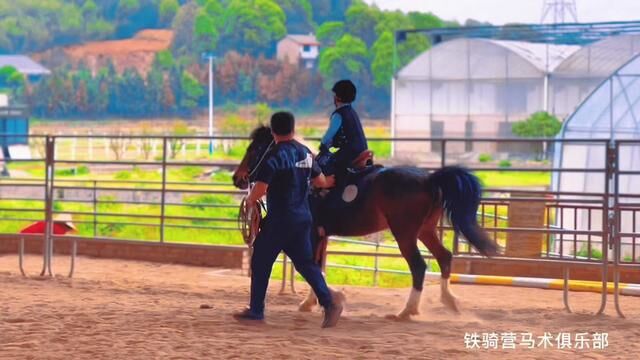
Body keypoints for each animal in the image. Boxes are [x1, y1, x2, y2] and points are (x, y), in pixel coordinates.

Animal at [232, 128, 498, 320]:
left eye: (255, 148)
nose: (238, 178)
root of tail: (430, 179)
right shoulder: (322, 234)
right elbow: (318, 266)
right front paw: (318, 301)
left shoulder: (313, 233)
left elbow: (311, 266)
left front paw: (317, 301)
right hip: (426, 230)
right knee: (444, 256)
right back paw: (449, 301)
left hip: (405, 234)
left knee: (419, 266)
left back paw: (406, 311)